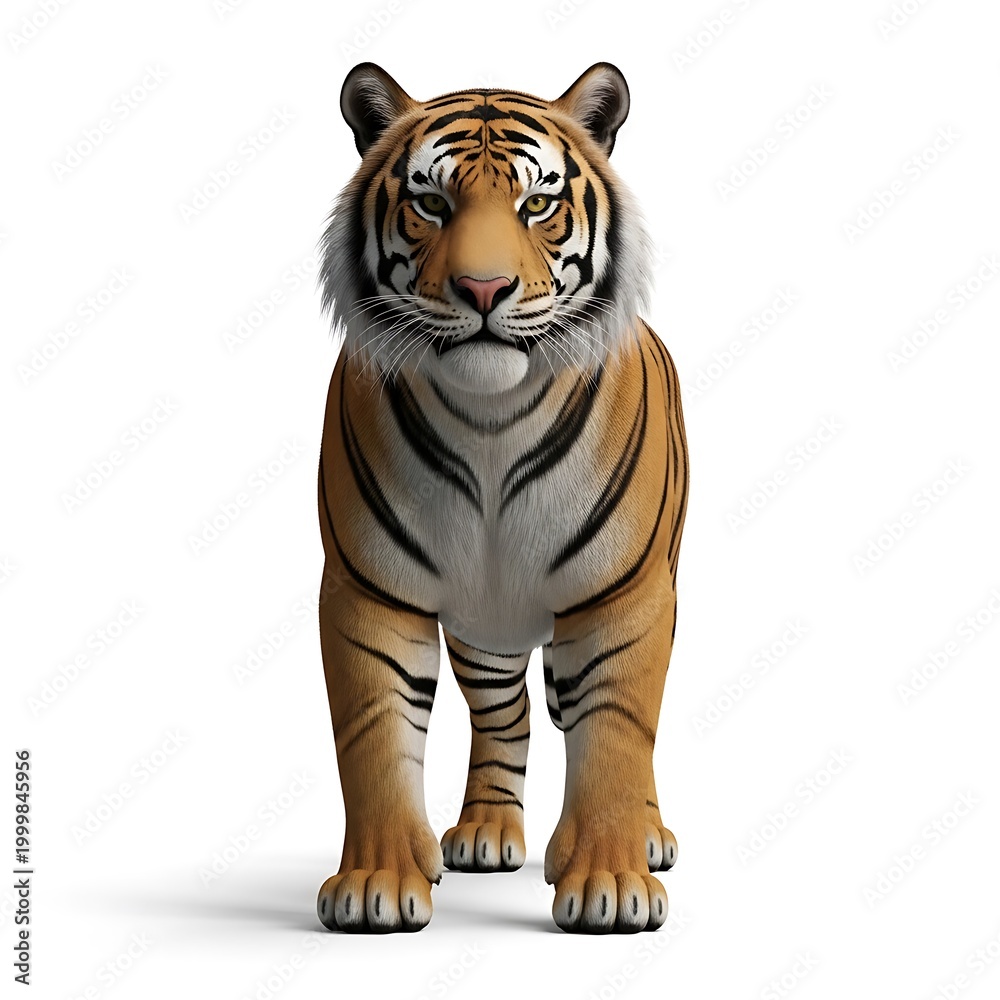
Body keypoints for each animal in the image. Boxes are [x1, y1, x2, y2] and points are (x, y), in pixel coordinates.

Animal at [314, 61, 688, 934]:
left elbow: (618, 732)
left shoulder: (627, 596)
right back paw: (485, 833)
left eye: (537, 204)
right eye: (430, 202)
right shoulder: (365, 590)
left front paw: (611, 884)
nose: (483, 288)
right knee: (504, 715)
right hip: (484, 624)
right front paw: (377, 884)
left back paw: (648, 837)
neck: (489, 422)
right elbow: (373, 739)